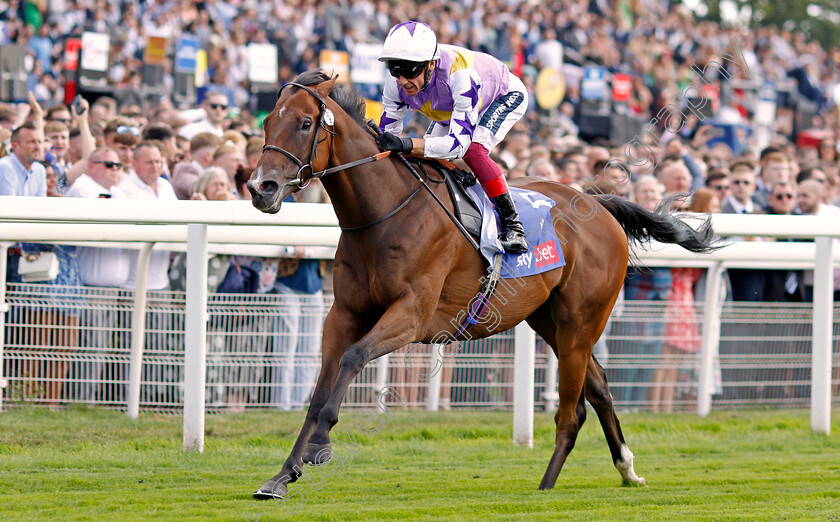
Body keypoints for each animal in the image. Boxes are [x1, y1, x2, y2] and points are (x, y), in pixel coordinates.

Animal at [246, 69, 720, 496]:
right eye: (267, 123)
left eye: (304, 123)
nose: (260, 188)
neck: (383, 214)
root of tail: (600, 205)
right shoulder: (343, 314)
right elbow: (319, 390)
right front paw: (282, 476)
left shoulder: (412, 315)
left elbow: (353, 358)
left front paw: (319, 447)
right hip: (547, 319)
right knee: (600, 387)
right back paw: (626, 470)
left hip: (581, 321)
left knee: (572, 412)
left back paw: (547, 486)